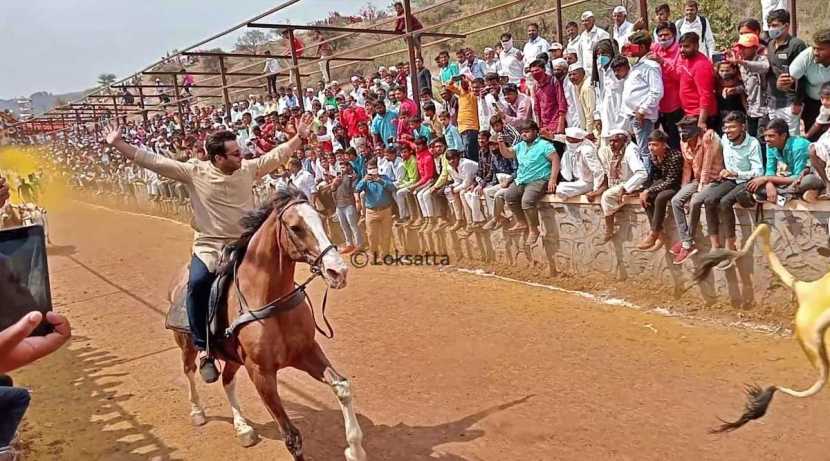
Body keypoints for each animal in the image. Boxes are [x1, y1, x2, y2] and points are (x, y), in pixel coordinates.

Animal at [167, 188, 366, 460]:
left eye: (321, 218)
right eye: (295, 227)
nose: (338, 271)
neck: (269, 302)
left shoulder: (306, 352)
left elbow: (342, 386)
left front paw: (354, 449)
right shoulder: (260, 372)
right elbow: (292, 437)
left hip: (232, 358)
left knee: (227, 381)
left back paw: (243, 429)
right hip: (187, 345)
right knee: (189, 371)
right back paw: (198, 412)